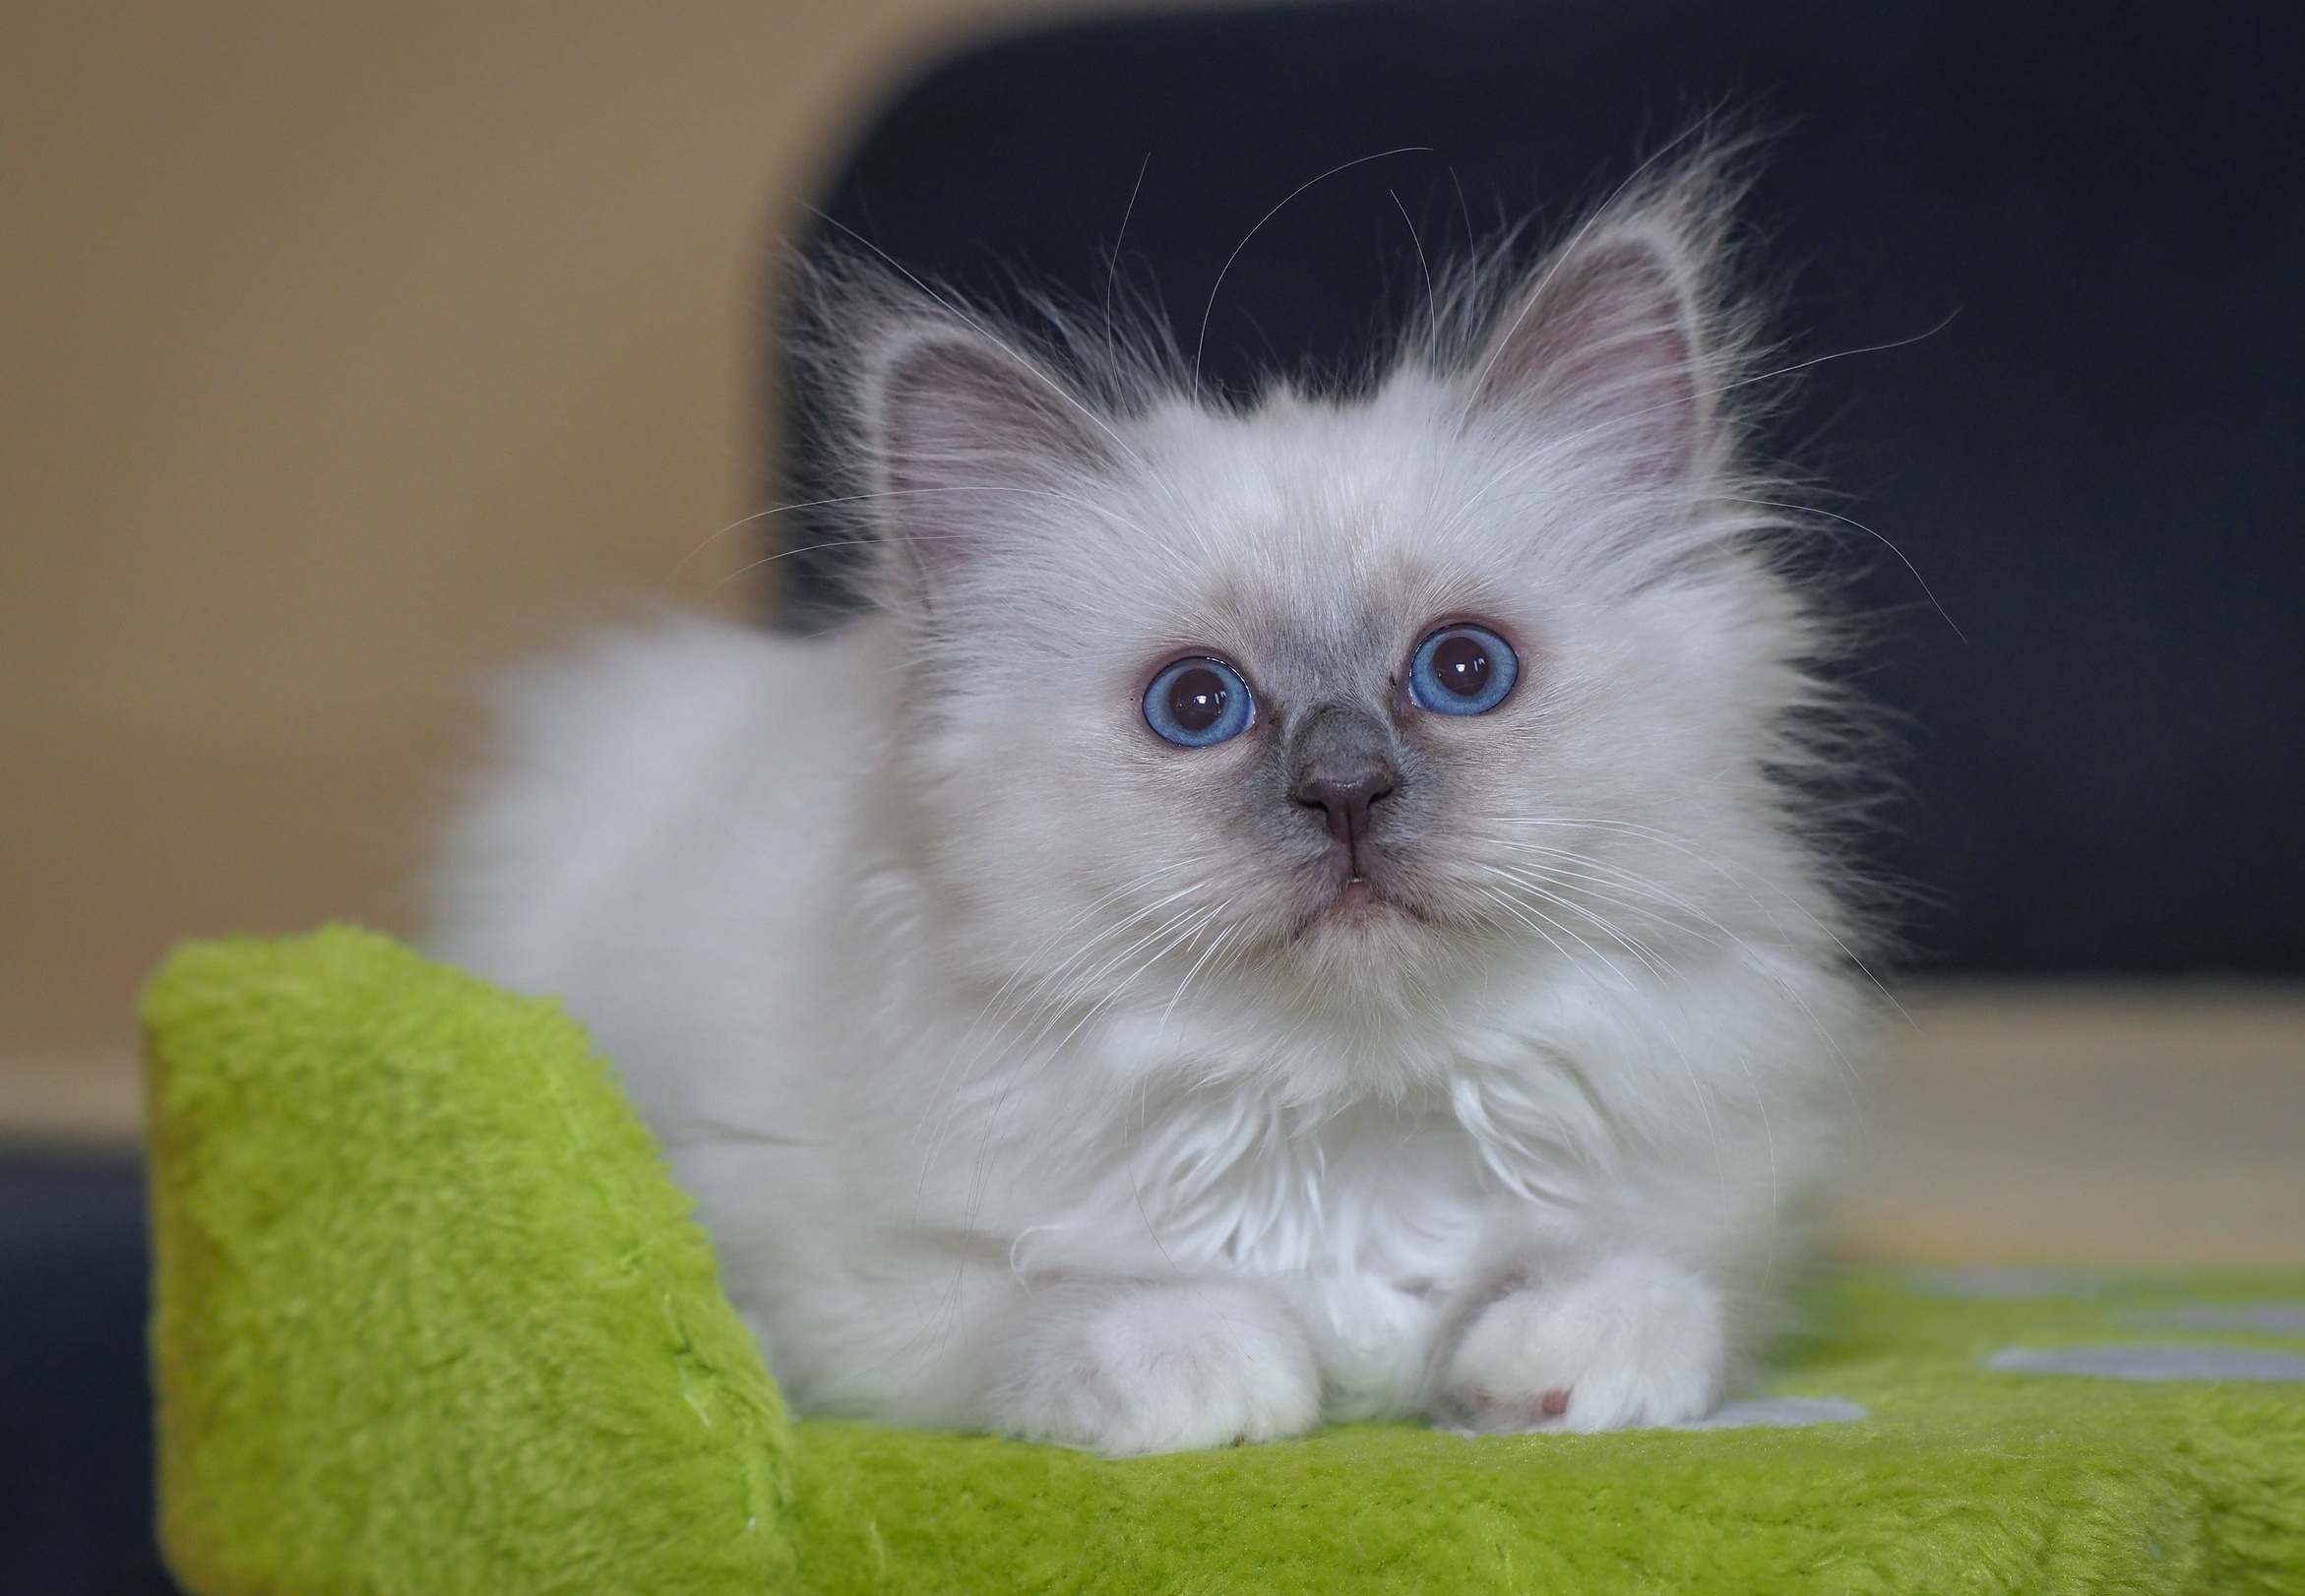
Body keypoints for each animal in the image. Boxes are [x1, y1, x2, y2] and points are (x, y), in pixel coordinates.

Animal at [428, 152, 1871, 1455]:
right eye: (1195, 704)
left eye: (1463, 671)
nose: (1343, 790)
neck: (1344, 1120)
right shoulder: (816, 1261)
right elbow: (1064, 1304)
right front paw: (1229, 1378)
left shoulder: (1718, 1218)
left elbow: (1643, 1290)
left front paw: (1536, 1377)